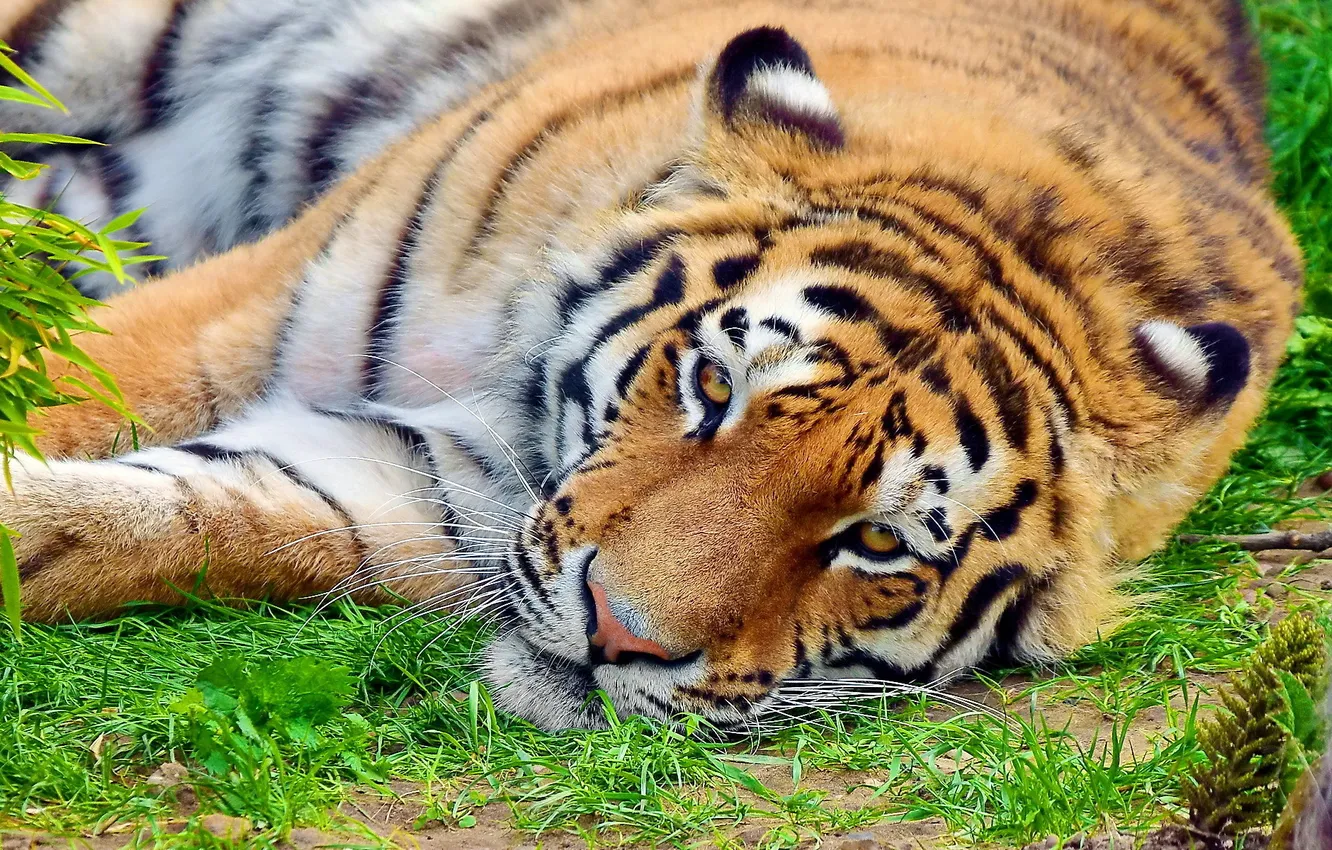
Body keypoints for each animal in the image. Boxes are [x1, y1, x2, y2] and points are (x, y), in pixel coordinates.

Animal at [0, 0, 1302, 731]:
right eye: (713, 389)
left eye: (880, 541)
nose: (618, 637)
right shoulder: (247, 314)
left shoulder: (412, 488)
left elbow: (188, 516)